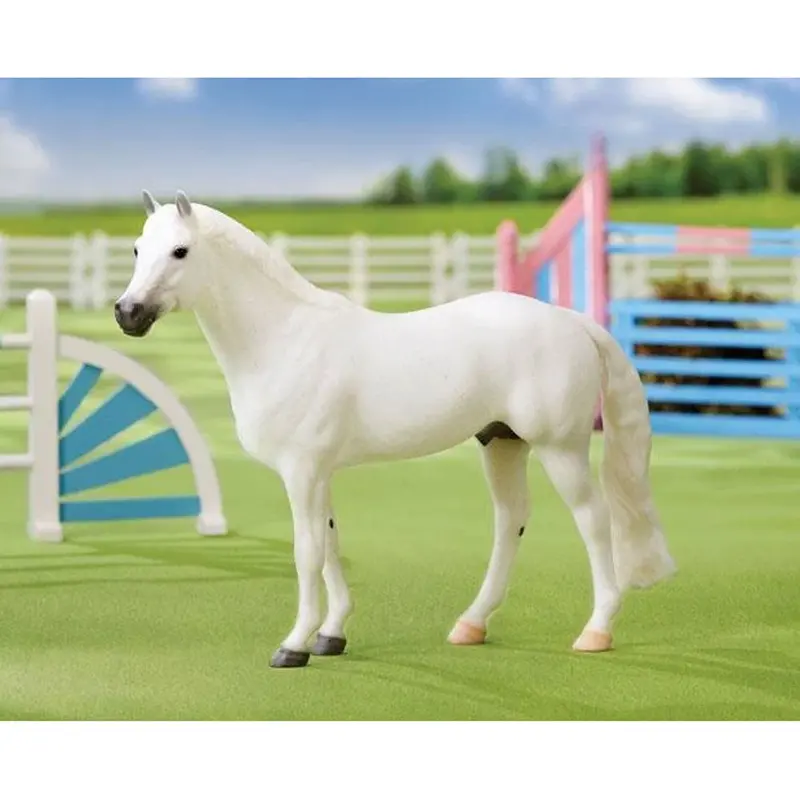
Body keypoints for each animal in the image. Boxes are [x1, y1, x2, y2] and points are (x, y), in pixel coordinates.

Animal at [114, 190, 676, 669]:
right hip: (502, 443)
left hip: (560, 449)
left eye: (181, 251)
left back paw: (596, 631)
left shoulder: (302, 472)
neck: (285, 338)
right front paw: (331, 635)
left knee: (594, 521)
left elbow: (307, 552)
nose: (127, 313)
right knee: (511, 520)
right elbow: (330, 545)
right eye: (138, 248)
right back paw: (471, 624)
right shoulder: (319, 473)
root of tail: (571, 321)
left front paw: (294, 645)